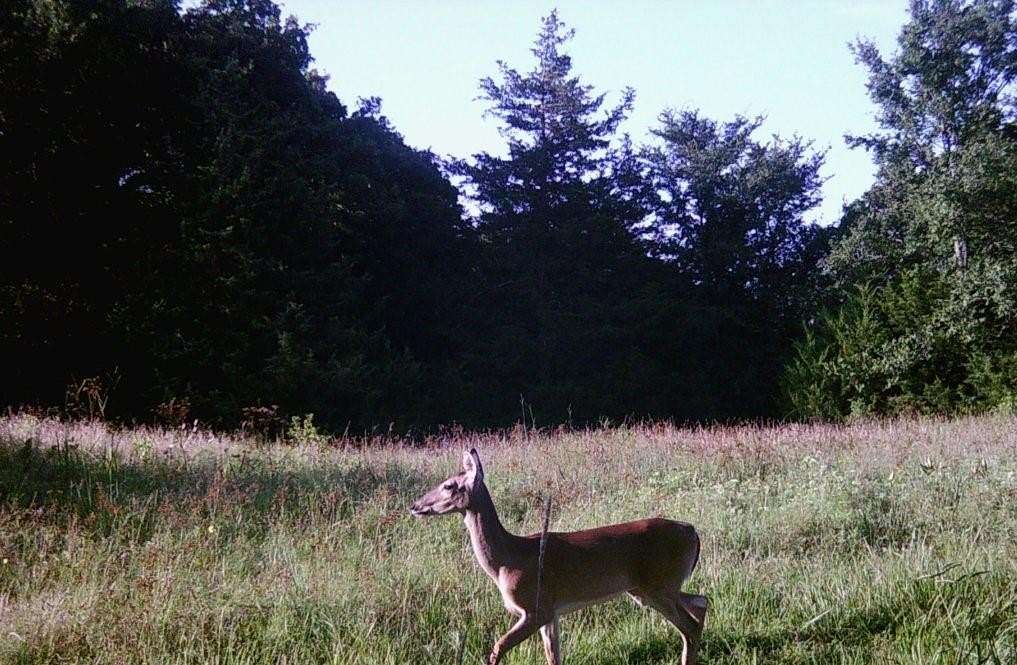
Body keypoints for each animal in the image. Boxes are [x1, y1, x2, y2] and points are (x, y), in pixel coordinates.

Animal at [406, 451, 707, 662]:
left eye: (448, 486)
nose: (414, 506)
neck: (507, 560)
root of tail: (692, 531)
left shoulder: (535, 608)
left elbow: (496, 649)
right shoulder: (551, 612)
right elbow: (553, 656)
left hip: (657, 586)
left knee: (690, 626)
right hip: (651, 588)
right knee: (701, 602)